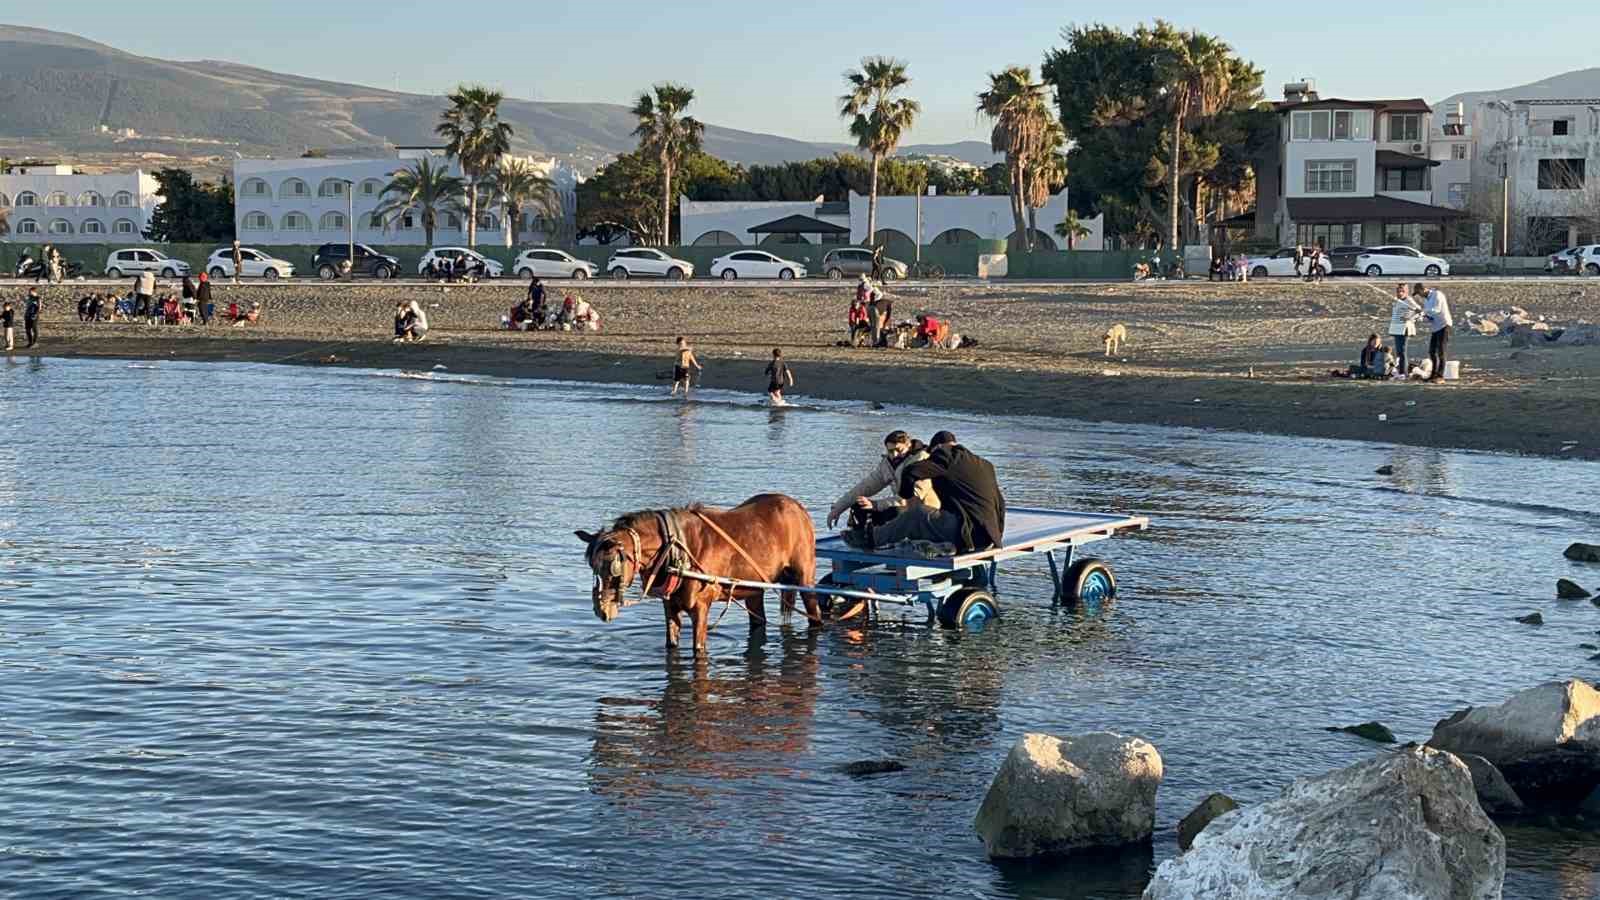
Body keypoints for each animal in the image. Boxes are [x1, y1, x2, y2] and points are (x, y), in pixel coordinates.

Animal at [579, 490, 825, 650]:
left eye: (613, 568)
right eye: (593, 567)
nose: (602, 611)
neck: (678, 548)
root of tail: (798, 508)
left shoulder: (701, 608)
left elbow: (699, 650)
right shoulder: (670, 606)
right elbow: (671, 644)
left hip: (805, 578)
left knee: (815, 615)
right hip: (753, 588)